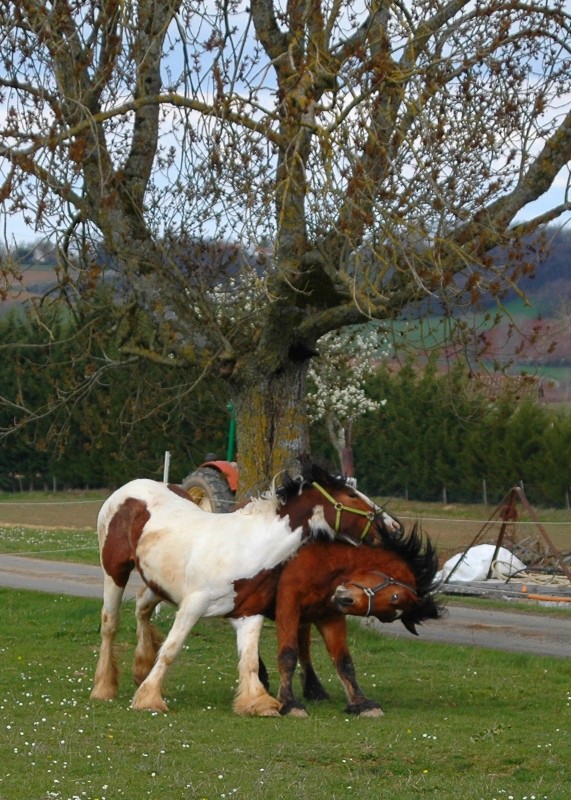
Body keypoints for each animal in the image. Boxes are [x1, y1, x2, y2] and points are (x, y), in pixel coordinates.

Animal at [90, 460, 402, 716]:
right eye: (351, 496)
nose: (394, 527)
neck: (247, 549)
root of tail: (129, 488)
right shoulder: (192, 605)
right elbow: (171, 649)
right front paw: (149, 699)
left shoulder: (249, 613)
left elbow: (250, 660)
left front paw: (258, 703)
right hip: (115, 572)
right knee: (110, 623)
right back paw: (103, 687)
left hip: (158, 583)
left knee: (142, 606)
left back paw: (140, 668)